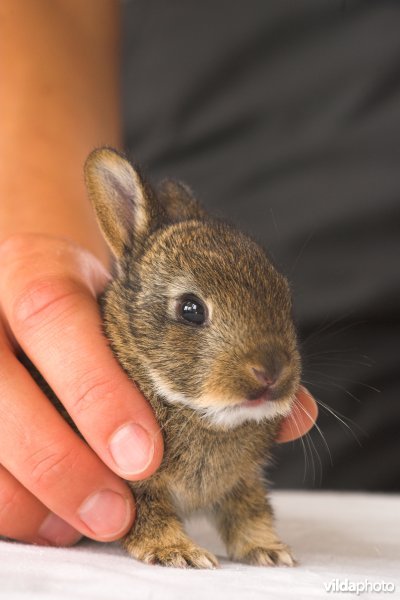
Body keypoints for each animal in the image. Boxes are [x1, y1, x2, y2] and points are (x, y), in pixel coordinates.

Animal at [82, 148, 304, 568]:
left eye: (284, 296)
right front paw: (179, 553)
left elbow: (249, 510)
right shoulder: (132, 479)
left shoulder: (242, 480)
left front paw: (270, 551)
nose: (271, 372)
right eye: (190, 309)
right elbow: (149, 512)